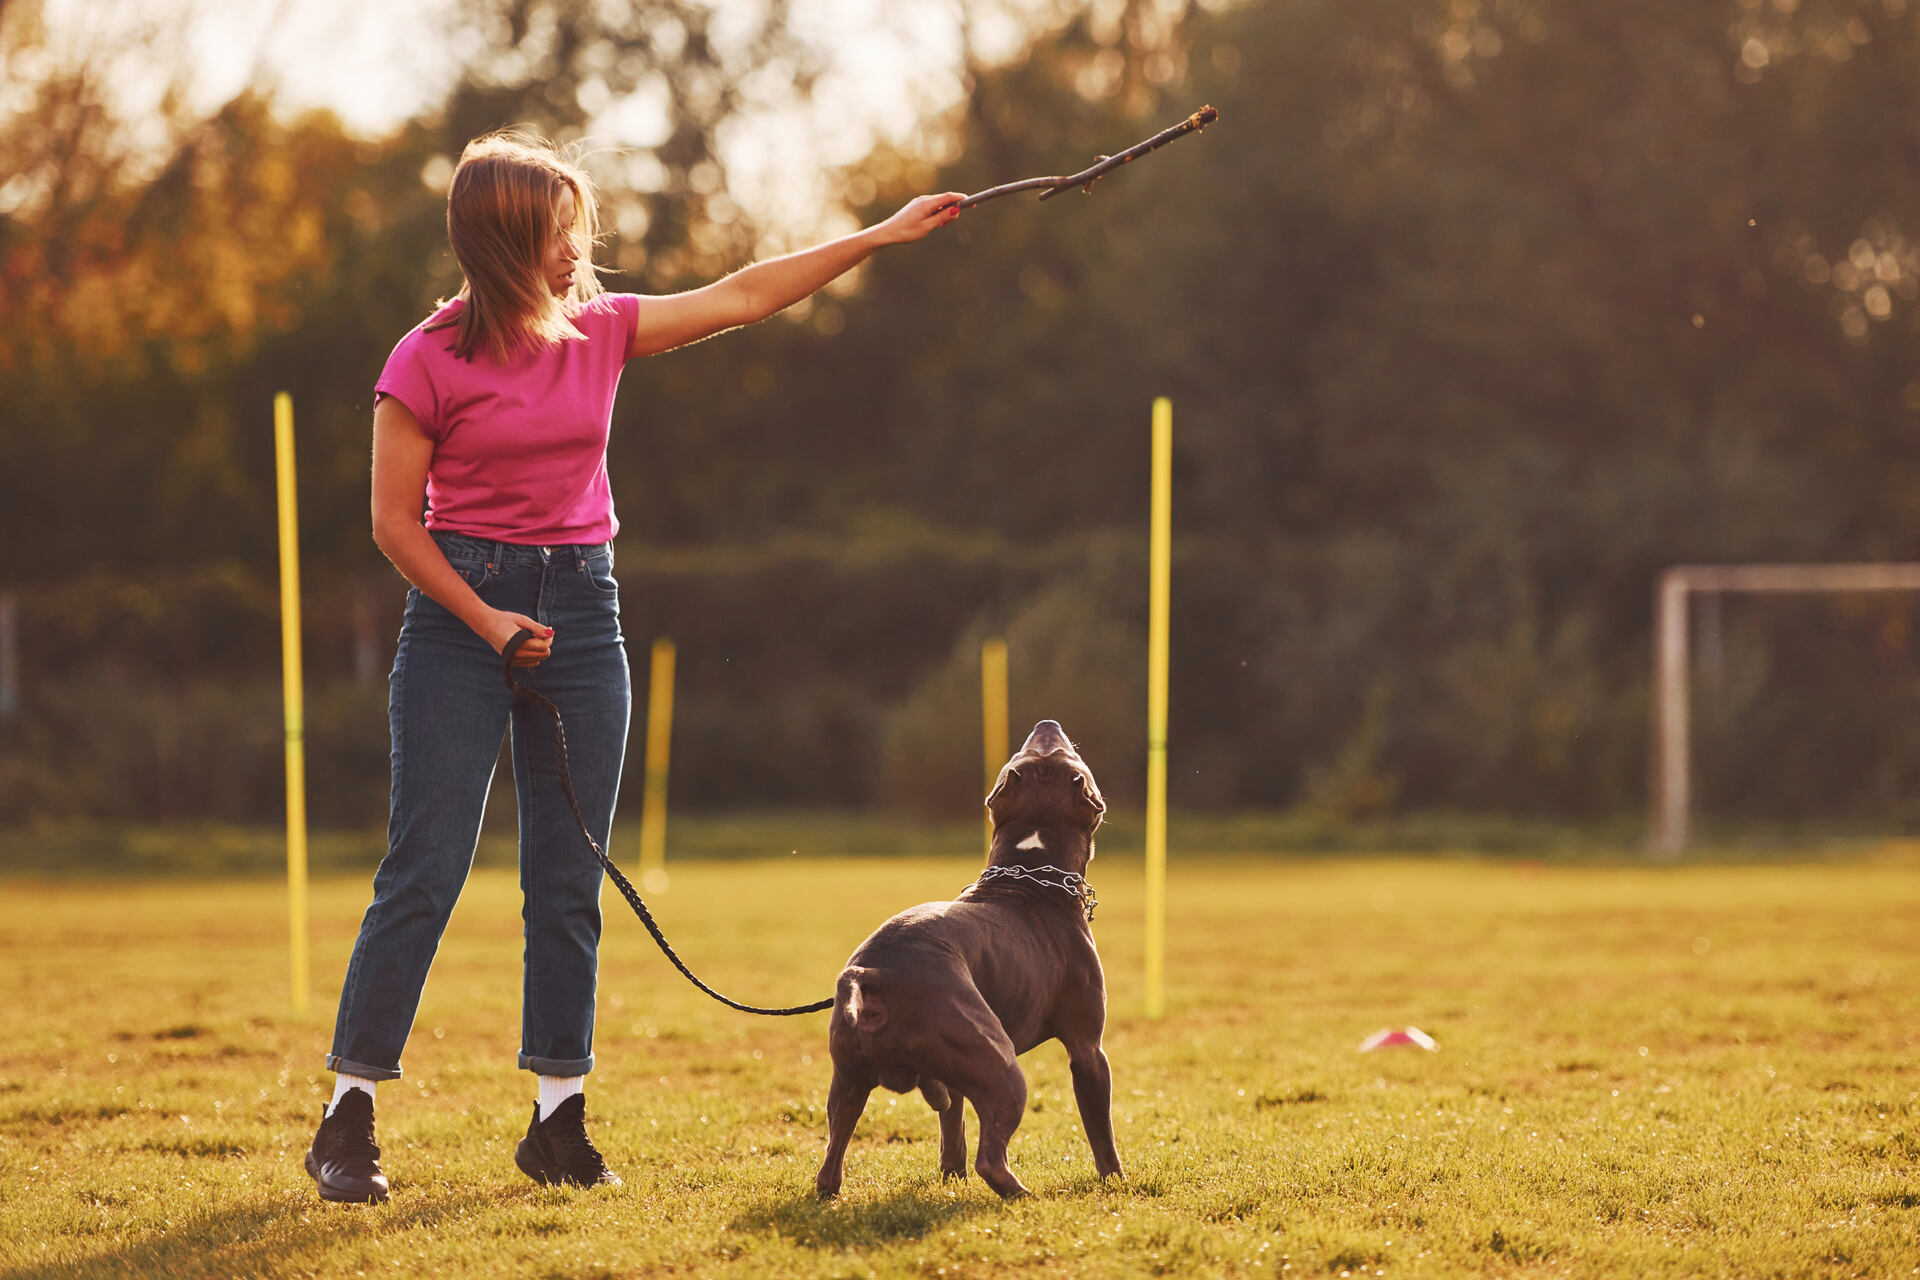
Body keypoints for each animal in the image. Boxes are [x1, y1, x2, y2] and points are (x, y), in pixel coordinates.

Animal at [814, 721, 1121, 1205]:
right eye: (1072, 762)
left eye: (1028, 756)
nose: (1047, 725)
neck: (1031, 872)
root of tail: (871, 974)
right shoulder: (1089, 1050)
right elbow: (1100, 1130)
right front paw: (1116, 1183)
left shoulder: (951, 1078)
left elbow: (952, 1126)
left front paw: (949, 1176)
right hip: (1001, 1070)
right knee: (991, 1158)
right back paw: (1024, 1197)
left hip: (848, 1079)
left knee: (832, 1155)